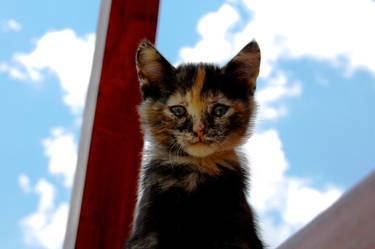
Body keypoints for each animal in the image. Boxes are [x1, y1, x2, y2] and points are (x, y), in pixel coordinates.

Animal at [126, 40, 264, 249]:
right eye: (178, 110)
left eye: (219, 110)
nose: (199, 130)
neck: (197, 168)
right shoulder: (146, 232)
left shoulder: (239, 233)